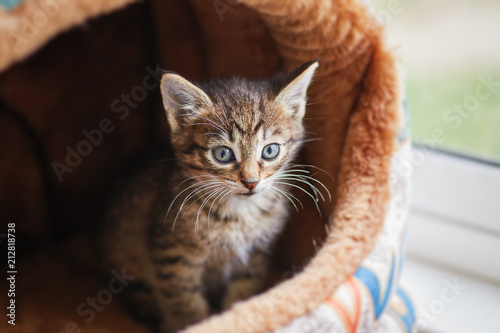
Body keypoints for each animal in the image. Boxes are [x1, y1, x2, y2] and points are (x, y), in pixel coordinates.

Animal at [101, 61, 320, 330]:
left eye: (270, 151)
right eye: (223, 154)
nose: (251, 182)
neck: (239, 214)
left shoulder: (254, 257)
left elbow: (242, 295)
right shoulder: (172, 257)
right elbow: (185, 303)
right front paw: (196, 323)